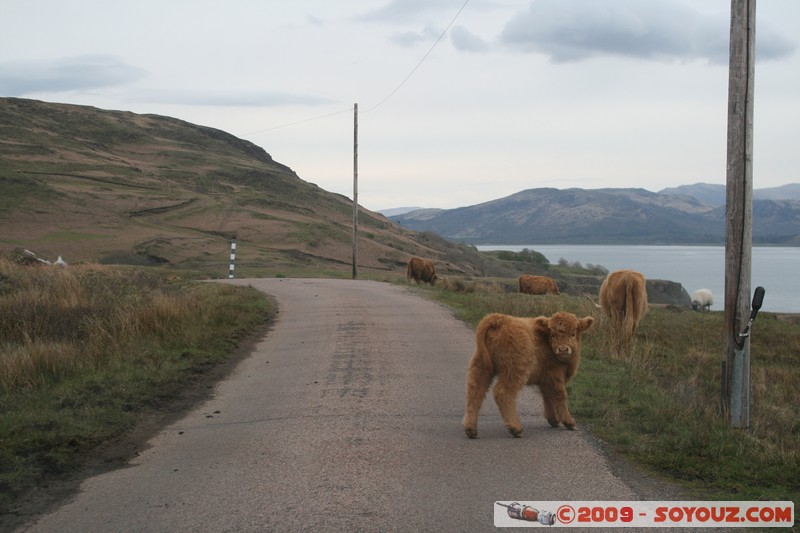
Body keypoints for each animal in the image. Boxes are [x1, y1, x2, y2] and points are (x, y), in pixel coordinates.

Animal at [462, 310, 592, 438]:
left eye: (573, 334)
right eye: (553, 334)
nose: (563, 349)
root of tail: (501, 319)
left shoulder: (545, 380)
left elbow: (548, 397)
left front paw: (553, 420)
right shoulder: (555, 376)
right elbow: (560, 395)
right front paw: (569, 422)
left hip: (481, 366)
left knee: (475, 392)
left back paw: (470, 429)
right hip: (514, 371)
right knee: (503, 393)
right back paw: (515, 428)